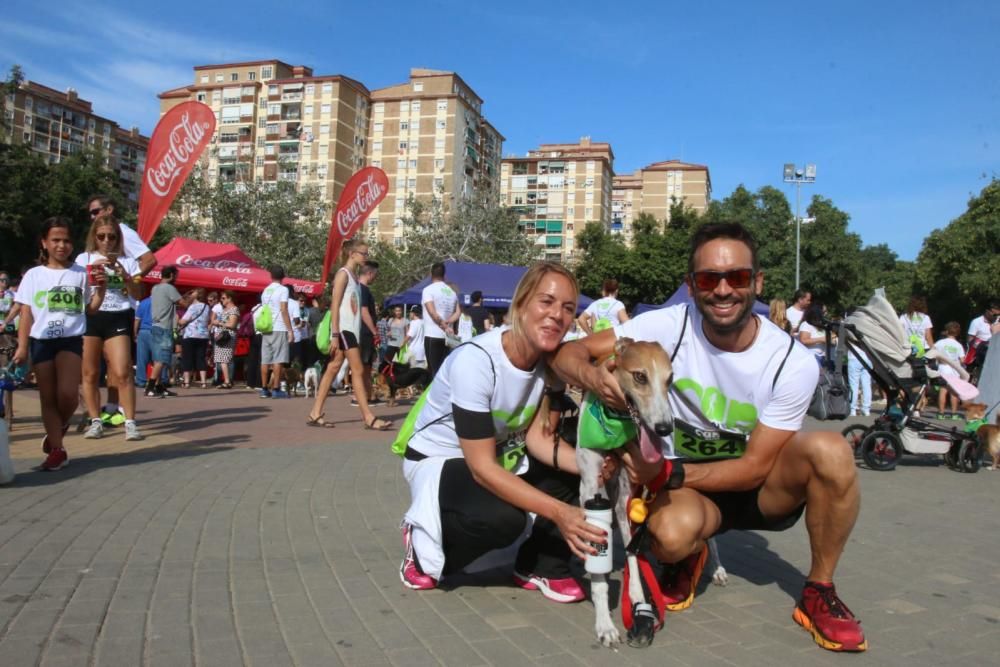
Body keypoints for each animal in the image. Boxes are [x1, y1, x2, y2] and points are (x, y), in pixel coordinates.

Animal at [580, 336, 728, 648]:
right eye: (639, 376)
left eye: (670, 379)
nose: (663, 428)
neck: (613, 420)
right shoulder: (590, 487)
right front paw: (605, 623)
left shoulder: (625, 493)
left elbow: (632, 554)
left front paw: (637, 598)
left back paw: (715, 566)